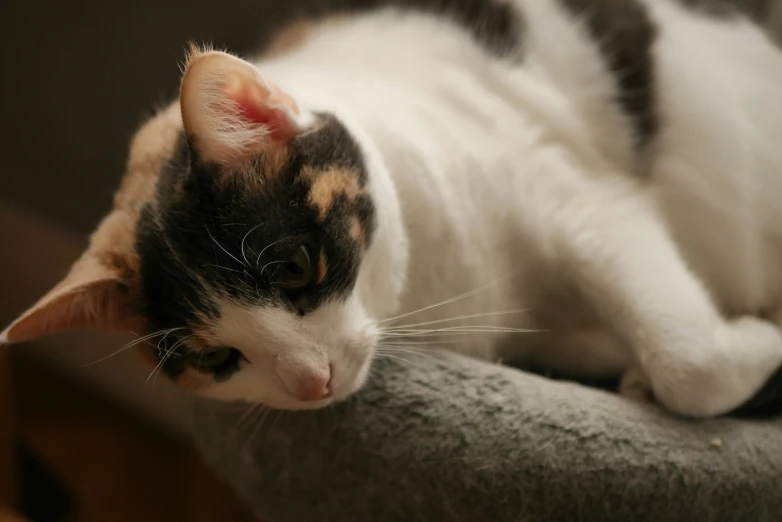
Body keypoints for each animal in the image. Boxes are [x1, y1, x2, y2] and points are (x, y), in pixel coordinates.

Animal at [1, 0, 782, 414]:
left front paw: (757, 339)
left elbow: (690, 363)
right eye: (216, 357)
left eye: (293, 268)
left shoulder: (579, 199)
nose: (310, 383)